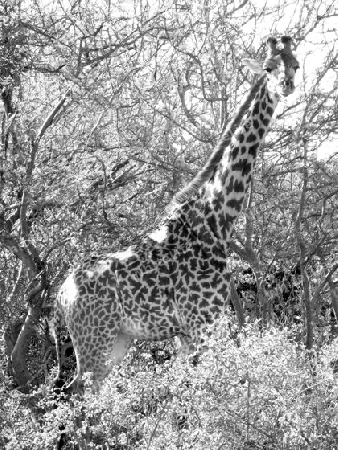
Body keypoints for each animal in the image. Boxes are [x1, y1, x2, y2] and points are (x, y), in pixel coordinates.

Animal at [54, 36, 300, 394]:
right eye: (268, 68)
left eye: (295, 64)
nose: (287, 85)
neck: (218, 218)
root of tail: (61, 295)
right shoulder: (200, 324)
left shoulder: (189, 331)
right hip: (94, 339)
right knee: (78, 393)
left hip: (118, 341)